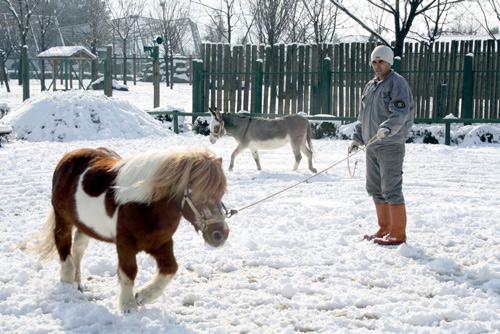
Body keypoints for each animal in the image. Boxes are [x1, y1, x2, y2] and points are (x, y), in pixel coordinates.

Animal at [35, 147, 229, 312]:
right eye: (198, 195)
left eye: (220, 194)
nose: (220, 235)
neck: (146, 206)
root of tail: (69, 156)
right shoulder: (125, 244)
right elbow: (129, 272)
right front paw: (128, 306)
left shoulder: (161, 243)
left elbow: (170, 269)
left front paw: (143, 296)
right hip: (63, 218)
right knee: (63, 245)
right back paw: (68, 284)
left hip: (85, 224)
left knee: (78, 249)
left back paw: (77, 284)